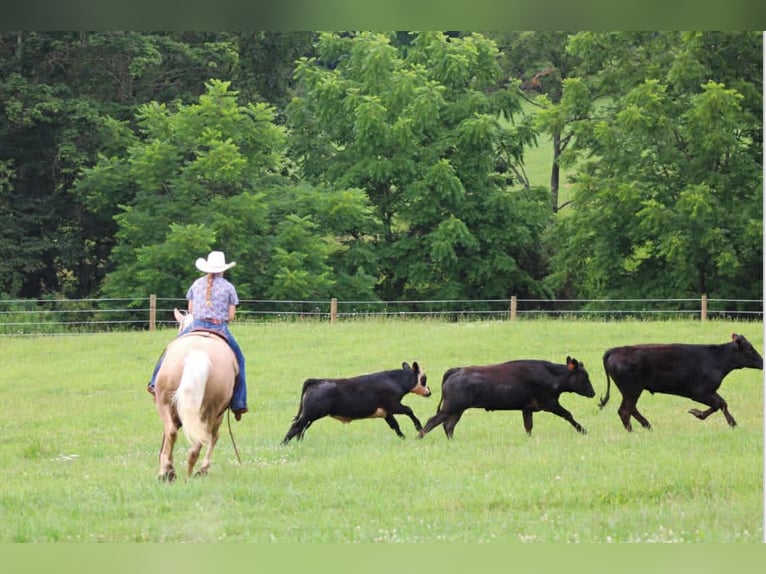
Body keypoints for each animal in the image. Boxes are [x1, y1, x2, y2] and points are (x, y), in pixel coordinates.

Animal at [154, 308, 238, 481]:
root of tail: (198, 353)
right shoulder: (219, 414)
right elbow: (215, 436)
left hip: (165, 402)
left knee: (172, 432)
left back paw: (169, 472)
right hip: (211, 410)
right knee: (201, 439)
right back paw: (191, 473)